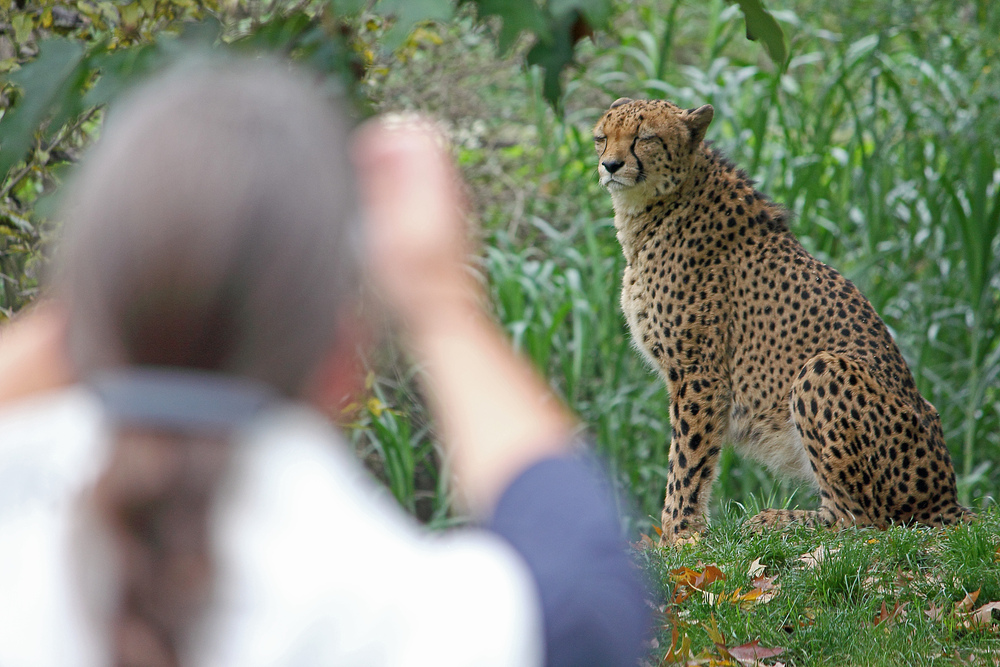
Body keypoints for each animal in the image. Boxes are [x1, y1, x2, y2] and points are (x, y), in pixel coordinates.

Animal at [593, 97, 973, 546]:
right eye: (601, 138)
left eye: (645, 138)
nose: (610, 165)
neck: (659, 205)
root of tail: (946, 497)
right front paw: (677, 533)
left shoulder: (701, 373)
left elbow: (688, 458)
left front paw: (679, 534)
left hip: (822, 368)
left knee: (860, 519)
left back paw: (774, 521)